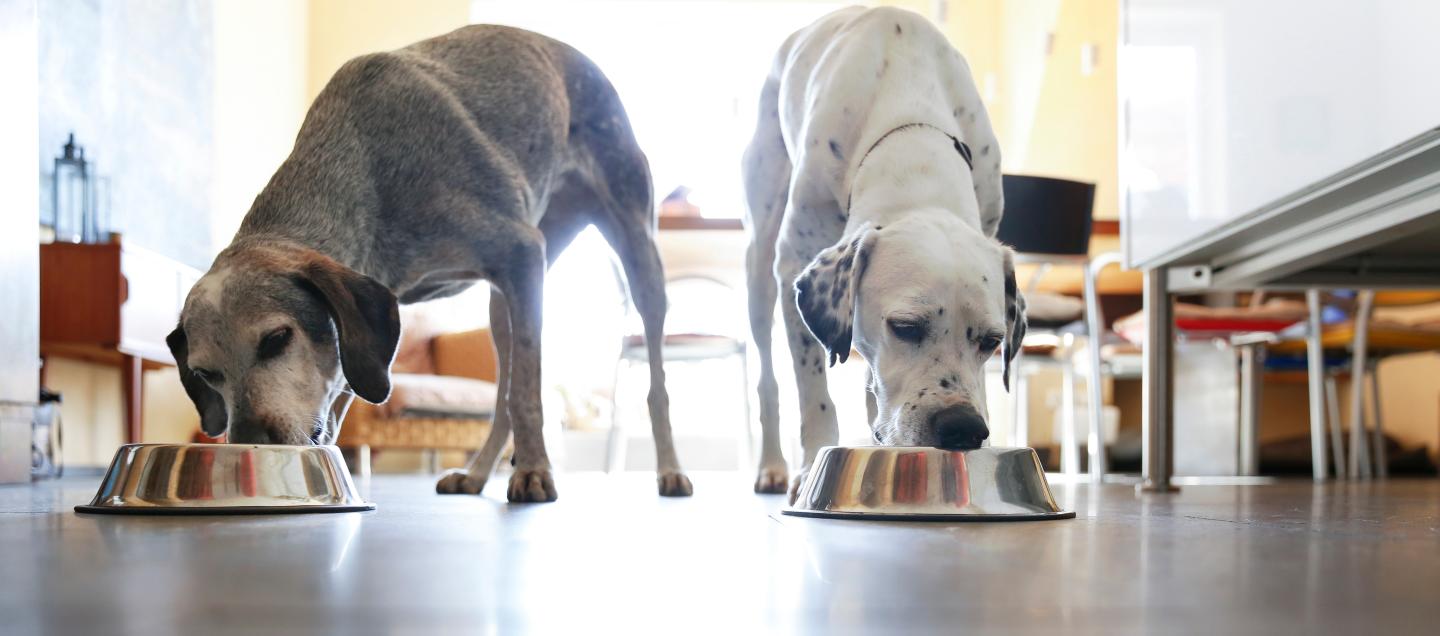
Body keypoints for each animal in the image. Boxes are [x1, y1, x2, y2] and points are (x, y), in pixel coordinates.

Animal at [743, 7, 1025, 500]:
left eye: (992, 341)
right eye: (906, 327)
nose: (962, 428)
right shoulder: (795, 263)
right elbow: (813, 391)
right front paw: (810, 468)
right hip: (761, 265)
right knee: (768, 380)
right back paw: (773, 465)